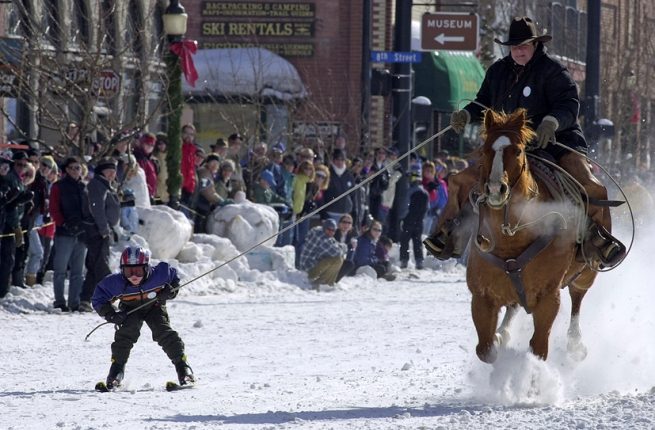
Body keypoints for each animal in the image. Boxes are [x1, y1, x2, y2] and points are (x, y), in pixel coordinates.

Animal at [466, 107, 600, 362]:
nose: (496, 190)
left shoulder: (548, 297)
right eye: (484, 149)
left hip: (586, 274)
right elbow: (485, 349)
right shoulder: (482, 297)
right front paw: (498, 340)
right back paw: (504, 331)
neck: (510, 239)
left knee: (578, 298)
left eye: (518, 151)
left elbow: (538, 349)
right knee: (513, 307)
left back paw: (575, 343)